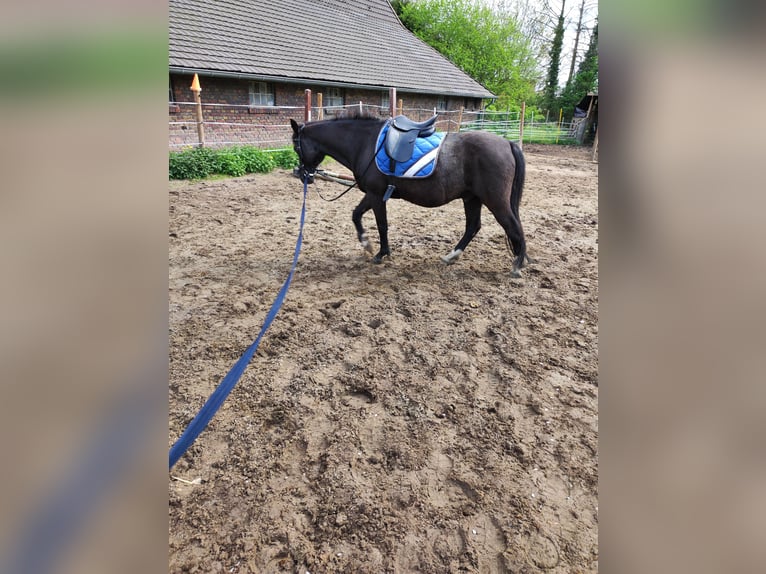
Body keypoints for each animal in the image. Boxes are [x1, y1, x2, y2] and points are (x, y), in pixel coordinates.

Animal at [292, 112, 532, 280]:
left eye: (296, 146)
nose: (303, 175)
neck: (364, 143)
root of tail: (507, 143)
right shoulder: (372, 194)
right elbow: (356, 215)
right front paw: (366, 244)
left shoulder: (376, 194)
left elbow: (382, 225)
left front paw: (381, 253)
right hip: (471, 198)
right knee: (473, 226)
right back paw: (452, 256)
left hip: (496, 201)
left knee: (513, 227)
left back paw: (517, 265)